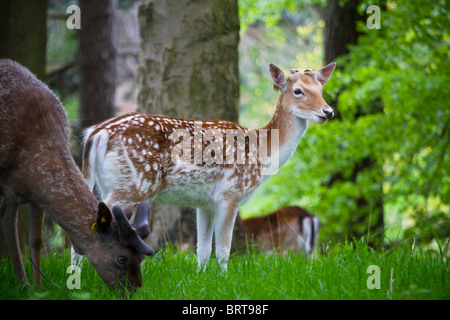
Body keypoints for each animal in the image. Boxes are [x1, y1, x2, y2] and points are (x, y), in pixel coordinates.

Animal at [0, 58, 153, 292]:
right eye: (122, 258)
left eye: (140, 258)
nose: (134, 289)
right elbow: (18, 228)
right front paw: (29, 285)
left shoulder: (35, 193)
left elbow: (35, 239)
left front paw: (35, 288)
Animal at [79, 62, 336, 270]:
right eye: (298, 91)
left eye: (321, 90)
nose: (328, 111)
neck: (261, 153)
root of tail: (96, 134)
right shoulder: (231, 193)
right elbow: (223, 249)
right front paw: (225, 278)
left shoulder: (204, 203)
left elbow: (203, 250)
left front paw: (201, 278)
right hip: (133, 184)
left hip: (108, 183)